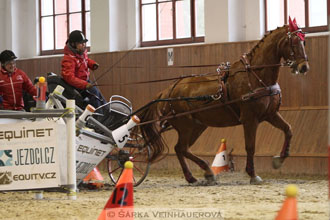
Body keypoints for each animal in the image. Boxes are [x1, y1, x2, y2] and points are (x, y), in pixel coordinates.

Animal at [139, 23, 310, 184]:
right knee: (181, 148)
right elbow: (250, 146)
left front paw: (279, 159)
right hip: (185, 126)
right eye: (294, 42)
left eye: (304, 41)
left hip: (197, 126)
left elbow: (288, 130)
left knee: (181, 149)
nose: (304, 67)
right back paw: (203, 172)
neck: (255, 75)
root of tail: (169, 89)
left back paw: (198, 175)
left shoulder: (271, 114)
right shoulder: (250, 119)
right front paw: (253, 175)